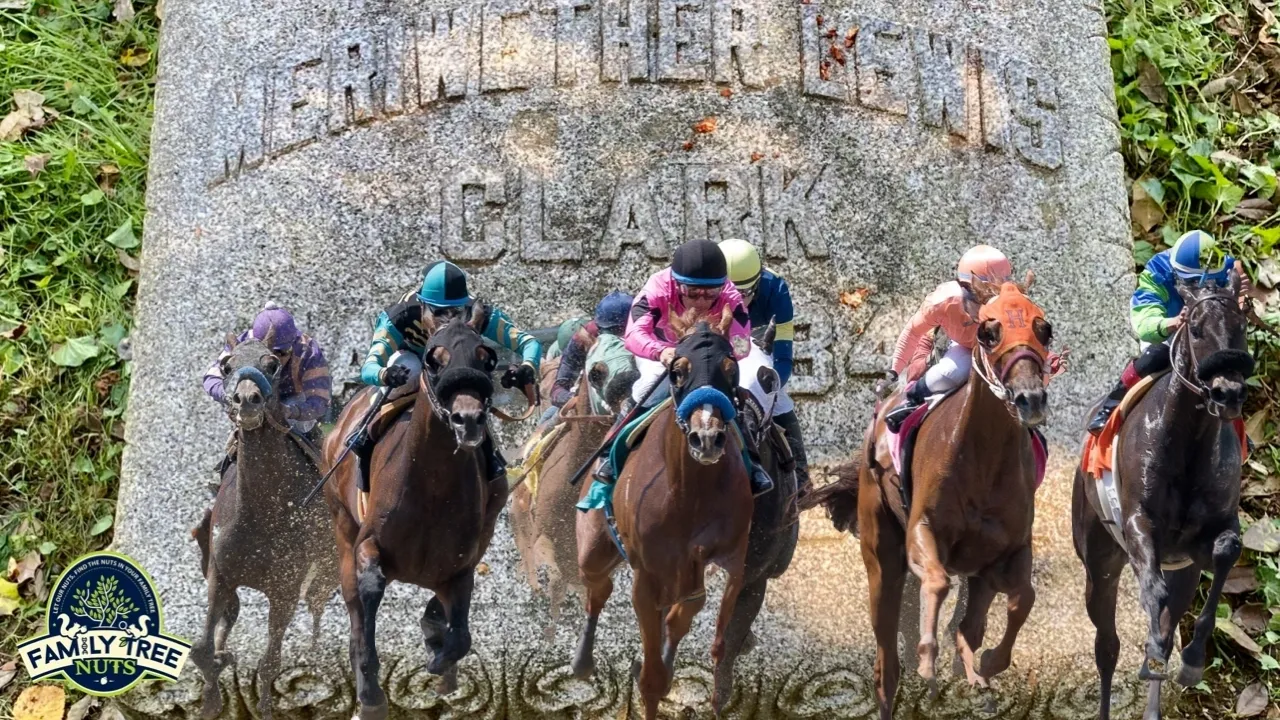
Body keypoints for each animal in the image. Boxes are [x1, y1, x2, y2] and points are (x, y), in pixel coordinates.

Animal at [189, 335, 337, 717]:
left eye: (272, 364)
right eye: (226, 365)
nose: (247, 400)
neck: (265, 514)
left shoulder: (286, 591)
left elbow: (270, 663)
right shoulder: (220, 574)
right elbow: (202, 649)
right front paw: (212, 695)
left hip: (325, 573)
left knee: (319, 608)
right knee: (231, 615)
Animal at [322, 303, 506, 717]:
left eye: (486, 359)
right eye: (434, 360)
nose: (468, 420)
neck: (432, 488)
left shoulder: (459, 566)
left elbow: (460, 637)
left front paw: (439, 656)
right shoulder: (368, 544)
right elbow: (370, 589)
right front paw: (372, 693)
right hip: (341, 524)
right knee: (354, 606)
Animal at [576, 308, 752, 717]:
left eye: (731, 369)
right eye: (678, 371)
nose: (707, 438)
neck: (689, 492)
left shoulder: (726, 555)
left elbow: (695, 613)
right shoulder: (646, 573)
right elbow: (652, 676)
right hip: (594, 547)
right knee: (597, 585)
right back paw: (582, 661)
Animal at [803, 278, 1054, 712]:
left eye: (1044, 329)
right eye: (988, 333)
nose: (1030, 398)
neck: (985, 457)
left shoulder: (1011, 548)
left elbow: (1024, 597)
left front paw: (988, 661)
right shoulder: (923, 529)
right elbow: (937, 582)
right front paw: (926, 659)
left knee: (974, 621)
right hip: (880, 548)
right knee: (886, 660)